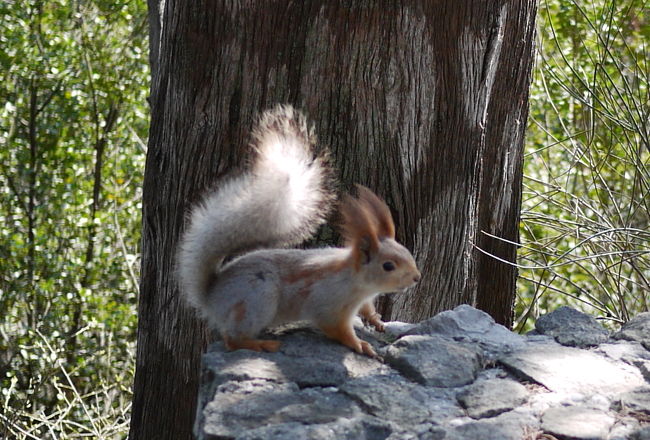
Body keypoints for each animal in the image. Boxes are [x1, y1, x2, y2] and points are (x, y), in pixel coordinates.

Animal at [177, 105, 420, 358]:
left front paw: (376, 321)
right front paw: (359, 344)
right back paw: (261, 344)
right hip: (257, 300)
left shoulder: (361, 300)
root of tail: (211, 297)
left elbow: (366, 309)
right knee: (232, 340)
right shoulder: (328, 304)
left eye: (406, 252)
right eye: (388, 266)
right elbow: (336, 328)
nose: (416, 277)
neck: (356, 280)